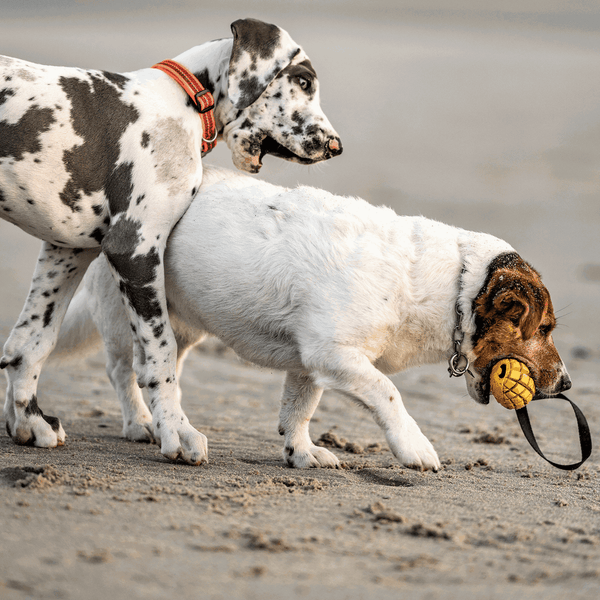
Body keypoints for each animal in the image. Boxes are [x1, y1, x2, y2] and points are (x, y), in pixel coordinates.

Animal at [1, 17, 342, 460]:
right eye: (303, 81)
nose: (336, 146)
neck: (184, 102)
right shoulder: (135, 248)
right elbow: (160, 357)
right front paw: (177, 432)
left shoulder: (69, 250)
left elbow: (32, 341)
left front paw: (29, 422)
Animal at [52, 166, 572, 472]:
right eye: (544, 329)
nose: (567, 383)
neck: (452, 288)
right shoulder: (334, 353)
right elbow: (388, 393)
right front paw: (414, 447)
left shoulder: (308, 364)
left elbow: (298, 411)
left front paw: (301, 453)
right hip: (128, 312)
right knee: (125, 371)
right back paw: (143, 423)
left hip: (183, 328)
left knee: (159, 370)